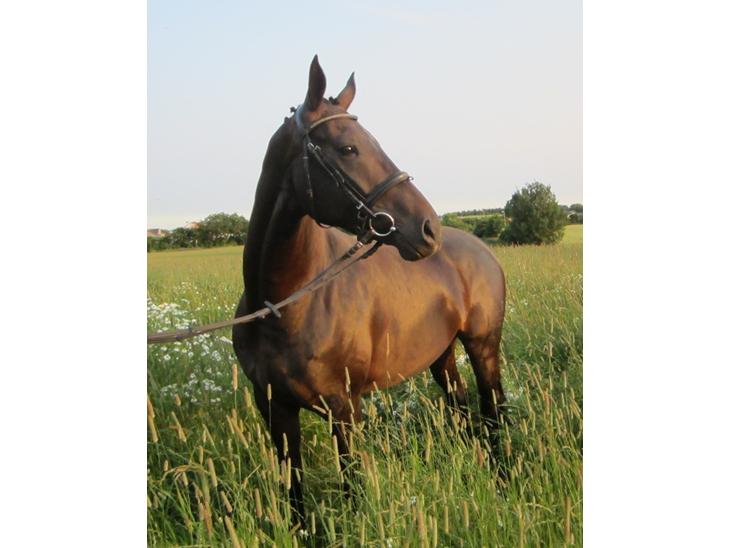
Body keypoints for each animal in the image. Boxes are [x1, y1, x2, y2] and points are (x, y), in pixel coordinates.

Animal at [232, 55, 506, 524]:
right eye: (348, 148)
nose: (428, 228)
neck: (282, 305)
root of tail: (482, 248)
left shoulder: (344, 410)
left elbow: (353, 488)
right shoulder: (275, 409)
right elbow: (295, 495)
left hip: (483, 347)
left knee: (493, 411)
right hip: (441, 355)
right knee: (461, 405)